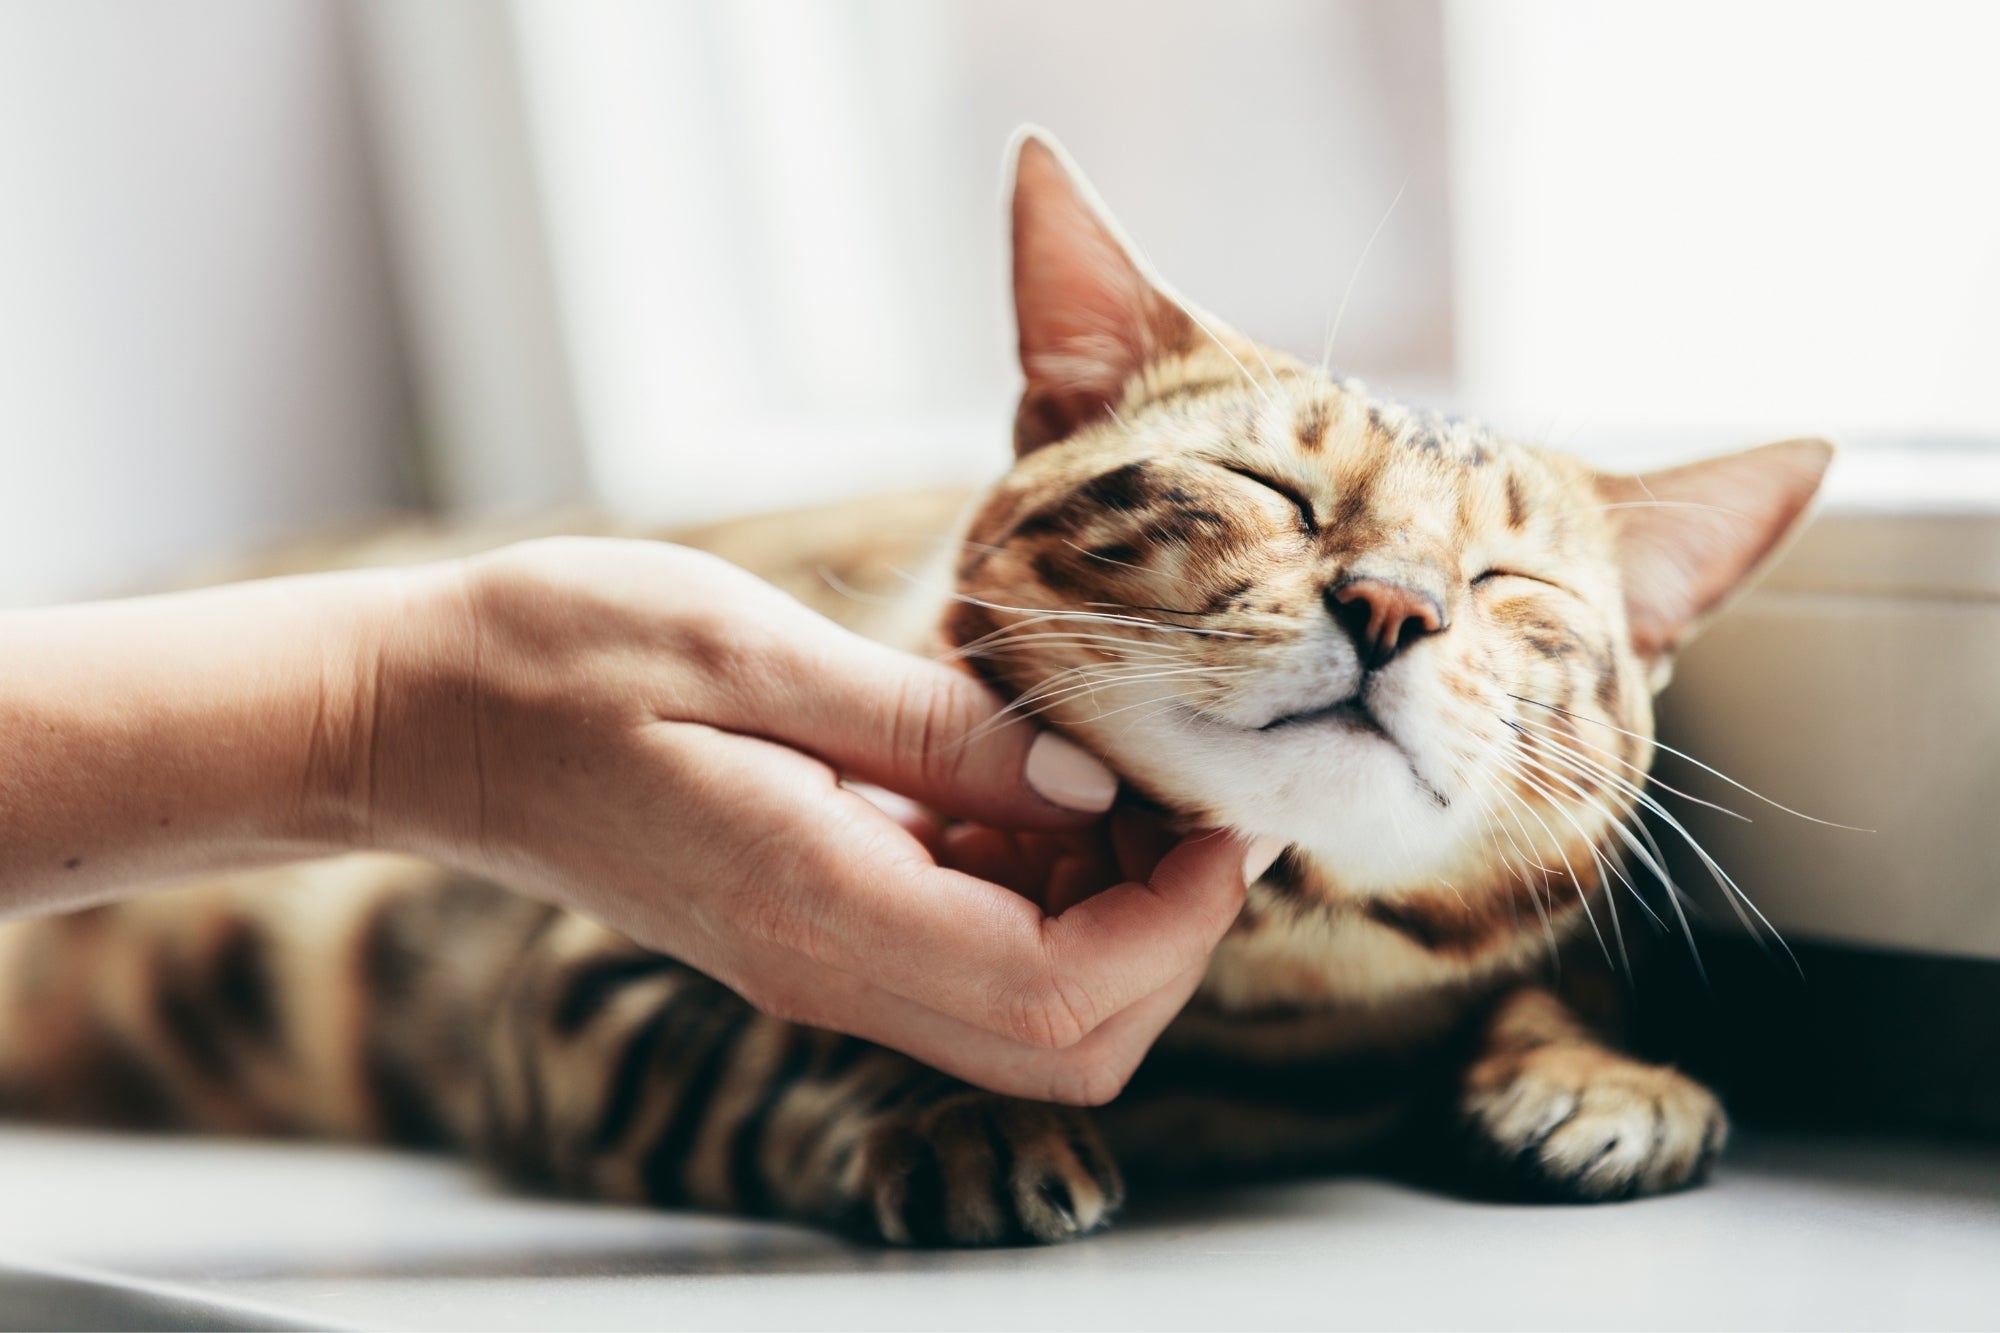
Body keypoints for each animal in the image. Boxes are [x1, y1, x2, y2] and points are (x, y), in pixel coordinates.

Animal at [0, 130, 1832, 1240]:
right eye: (1270, 489)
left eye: (1513, 589)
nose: (1392, 604)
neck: (1254, 1007)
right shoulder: (579, 975)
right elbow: (769, 1051)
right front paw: (955, 1111)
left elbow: (1547, 971)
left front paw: (1601, 1072)